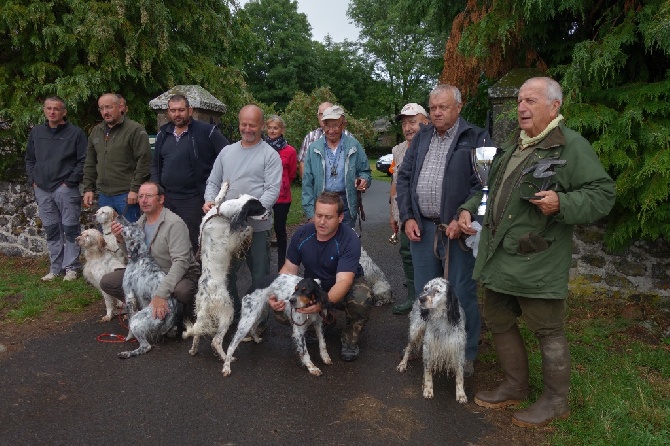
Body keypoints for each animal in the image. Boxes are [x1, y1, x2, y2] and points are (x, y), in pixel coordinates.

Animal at [119, 223, 178, 358]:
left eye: (130, 226)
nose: (121, 220)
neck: (140, 255)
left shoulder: (129, 296)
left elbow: (129, 320)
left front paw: (128, 337)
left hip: (137, 321)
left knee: (146, 346)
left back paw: (127, 353)